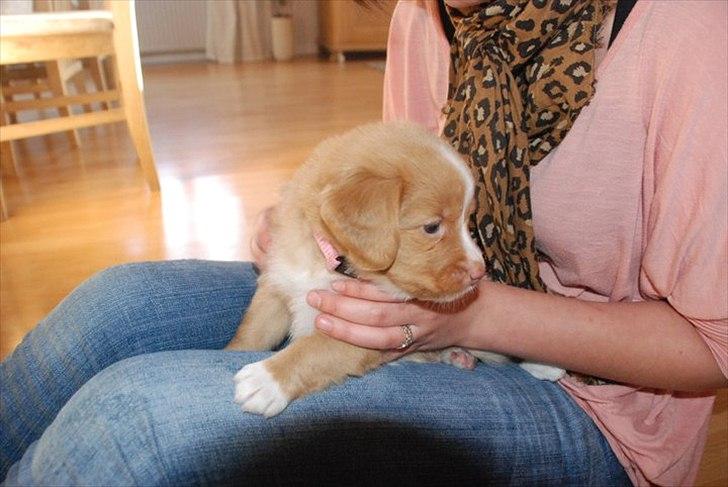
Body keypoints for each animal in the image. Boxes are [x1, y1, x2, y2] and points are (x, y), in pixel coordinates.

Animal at [228, 123, 564, 420]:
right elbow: (252, 332)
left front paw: (266, 380)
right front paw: (236, 351)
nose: (479, 273)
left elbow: (315, 349)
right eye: (432, 227)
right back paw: (457, 356)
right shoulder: (276, 289)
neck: (327, 262)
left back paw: (544, 364)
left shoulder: (363, 331)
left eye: (467, 221)